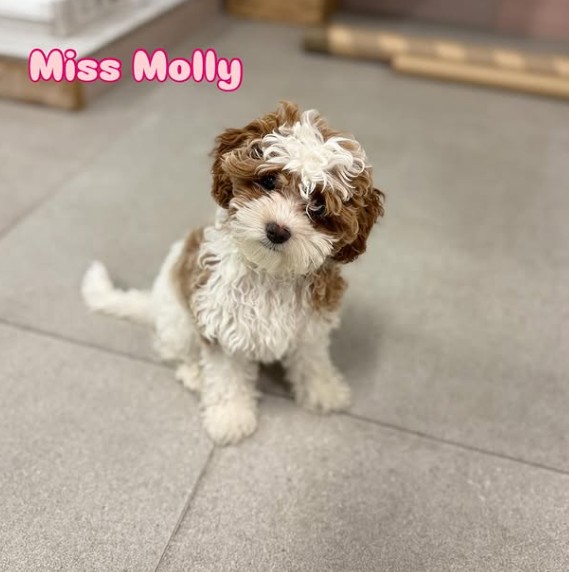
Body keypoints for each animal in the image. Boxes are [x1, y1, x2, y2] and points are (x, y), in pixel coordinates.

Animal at [81, 102, 384, 445]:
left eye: (318, 206)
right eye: (269, 181)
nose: (277, 230)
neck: (270, 273)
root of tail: (155, 302)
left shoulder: (310, 325)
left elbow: (312, 359)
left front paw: (324, 390)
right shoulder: (222, 327)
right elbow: (226, 377)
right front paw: (230, 417)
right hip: (180, 321)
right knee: (172, 349)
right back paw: (194, 373)